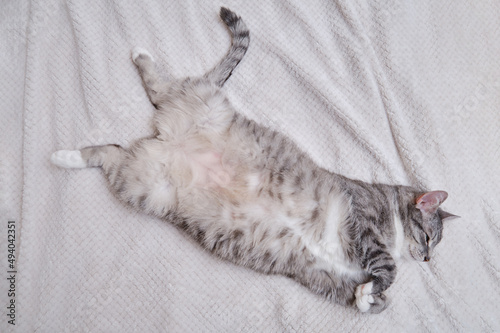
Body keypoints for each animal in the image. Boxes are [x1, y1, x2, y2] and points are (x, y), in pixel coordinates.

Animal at [50, 8, 458, 314]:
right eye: (428, 238)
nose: (426, 260)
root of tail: (168, 139)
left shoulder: (322, 275)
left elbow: (367, 297)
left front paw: (367, 298)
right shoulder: (362, 218)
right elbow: (387, 268)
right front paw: (378, 286)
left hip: (142, 183)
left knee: (111, 149)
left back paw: (66, 154)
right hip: (187, 116)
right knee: (157, 88)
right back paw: (136, 61)